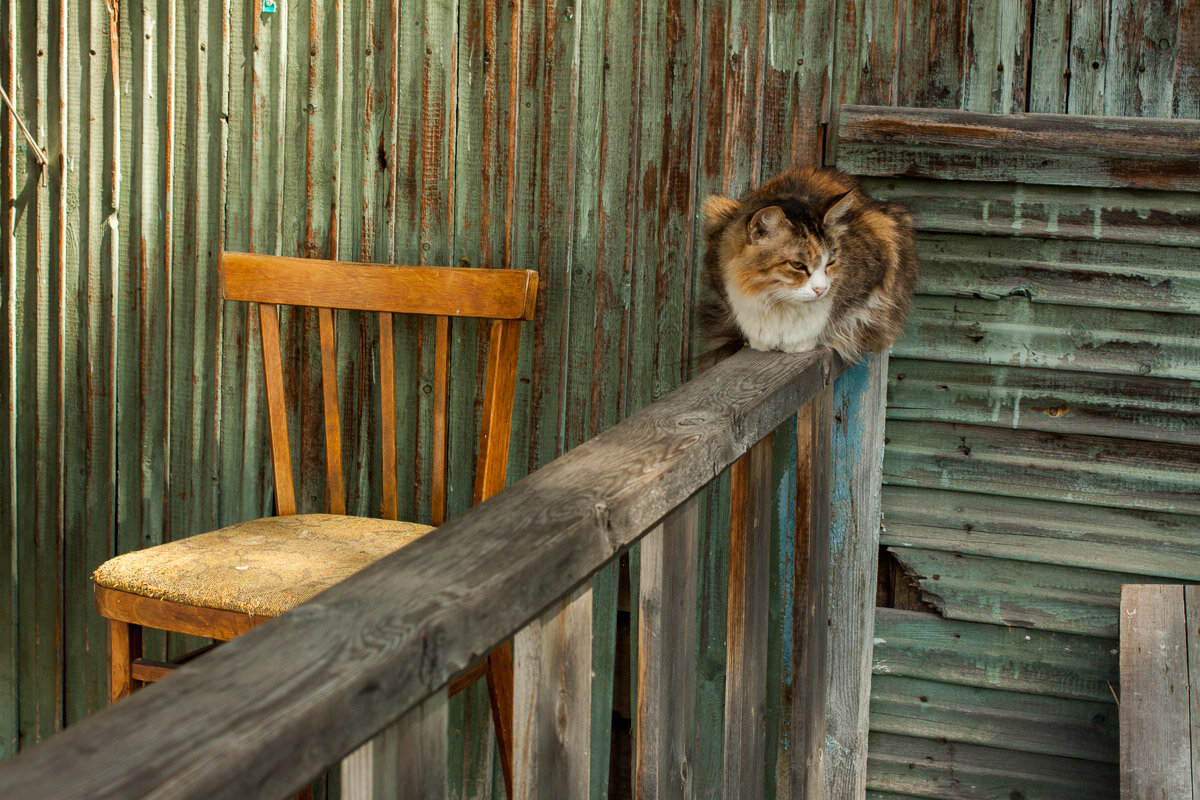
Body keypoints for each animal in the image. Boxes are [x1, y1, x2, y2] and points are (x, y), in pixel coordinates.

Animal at [696, 167, 916, 362]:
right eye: (797, 265)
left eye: (831, 262)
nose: (821, 289)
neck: (775, 300)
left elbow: (832, 316)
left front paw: (799, 342)